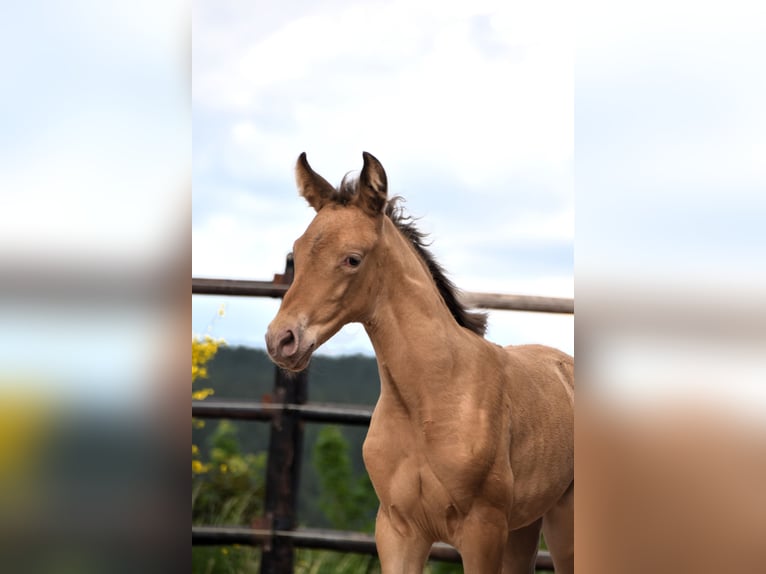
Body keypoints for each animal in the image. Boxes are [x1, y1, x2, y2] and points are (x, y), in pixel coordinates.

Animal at [265, 152, 574, 573]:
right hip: (524, 525)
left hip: (563, 521)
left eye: (352, 259)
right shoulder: (398, 530)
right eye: (297, 252)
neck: (430, 401)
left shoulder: (482, 531)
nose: (281, 340)